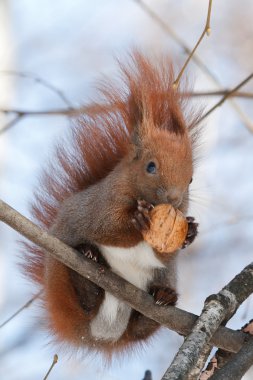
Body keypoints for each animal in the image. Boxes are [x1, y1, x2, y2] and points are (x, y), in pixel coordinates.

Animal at [23, 52, 200, 358]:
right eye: (150, 166)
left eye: (191, 178)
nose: (175, 199)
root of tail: (98, 335)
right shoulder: (99, 204)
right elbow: (105, 227)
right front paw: (137, 222)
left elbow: (166, 253)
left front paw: (189, 231)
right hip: (59, 272)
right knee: (82, 298)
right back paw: (89, 267)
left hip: (164, 280)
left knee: (141, 328)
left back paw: (163, 298)